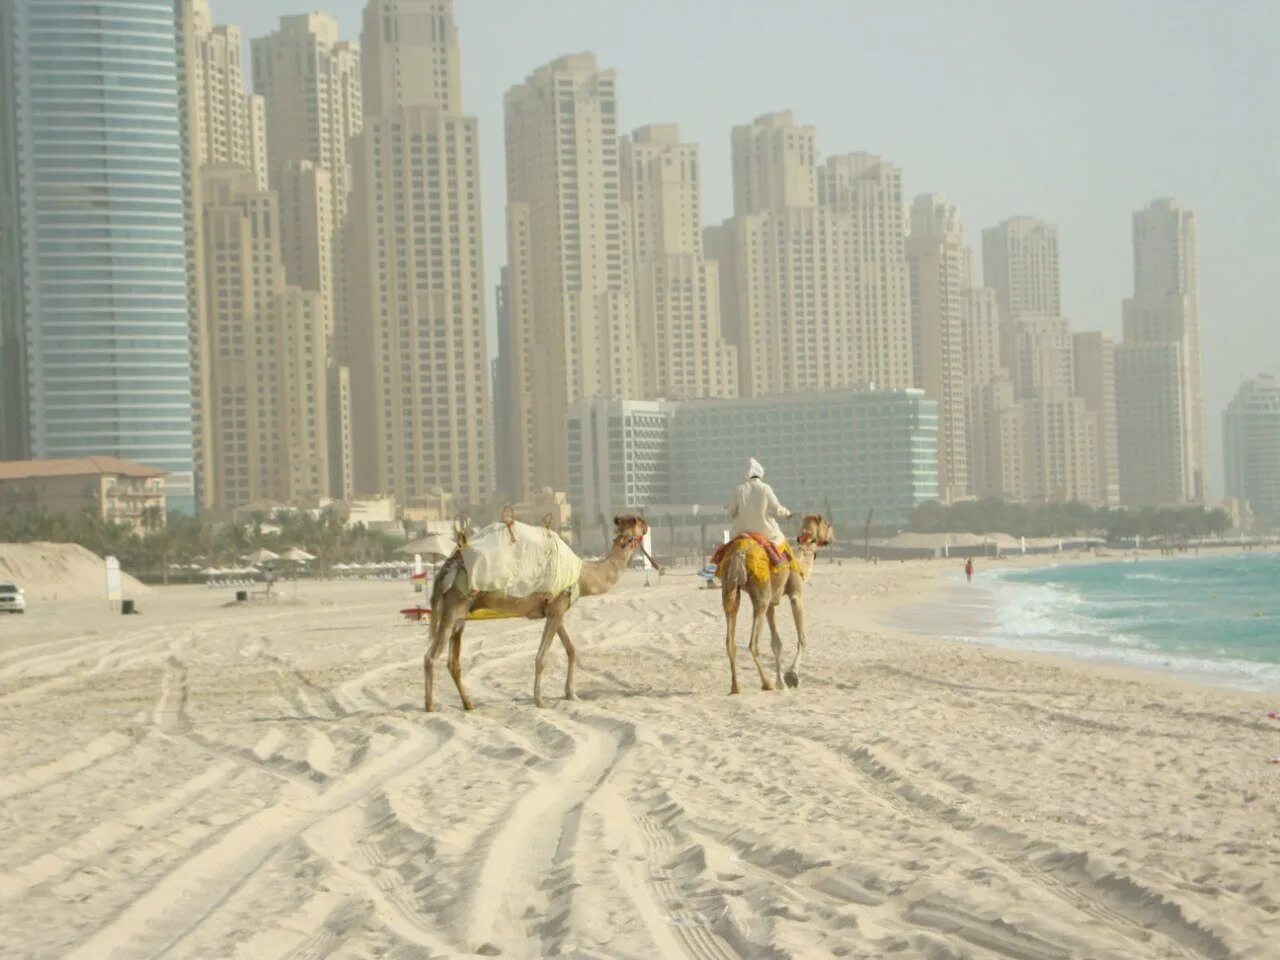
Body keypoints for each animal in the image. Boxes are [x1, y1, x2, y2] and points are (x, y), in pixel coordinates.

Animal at [427, 514, 650, 711]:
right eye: (639, 521)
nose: (647, 525)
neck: (583, 575)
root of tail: (449, 565)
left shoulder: (555, 610)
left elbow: (572, 649)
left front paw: (571, 694)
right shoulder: (556, 610)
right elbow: (541, 657)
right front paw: (540, 701)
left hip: (461, 612)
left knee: (452, 661)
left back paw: (468, 704)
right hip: (455, 604)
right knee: (431, 656)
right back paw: (429, 706)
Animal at [716, 514, 834, 696]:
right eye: (827, 524)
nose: (833, 535)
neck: (800, 562)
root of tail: (738, 553)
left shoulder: (772, 604)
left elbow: (776, 644)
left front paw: (781, 683)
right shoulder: (795, 594)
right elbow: (802, 639)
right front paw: (791, 676)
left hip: (730, 589)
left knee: (730, 641)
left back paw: (735, 687)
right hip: (761, 596)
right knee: (753, 643)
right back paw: (766, 683)